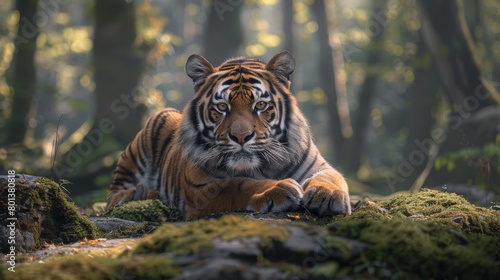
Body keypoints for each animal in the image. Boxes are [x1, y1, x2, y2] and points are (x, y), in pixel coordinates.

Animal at [104, 51, 352, 220]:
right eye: (222, 107)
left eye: (260, 105)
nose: (241, 136)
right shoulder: (201, 188)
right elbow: (239, 184)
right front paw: (277, 189)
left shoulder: (318, 165)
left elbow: (331, 177)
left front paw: (327, 195)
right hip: (152, 128)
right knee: (112, 197)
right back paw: (142, 193)